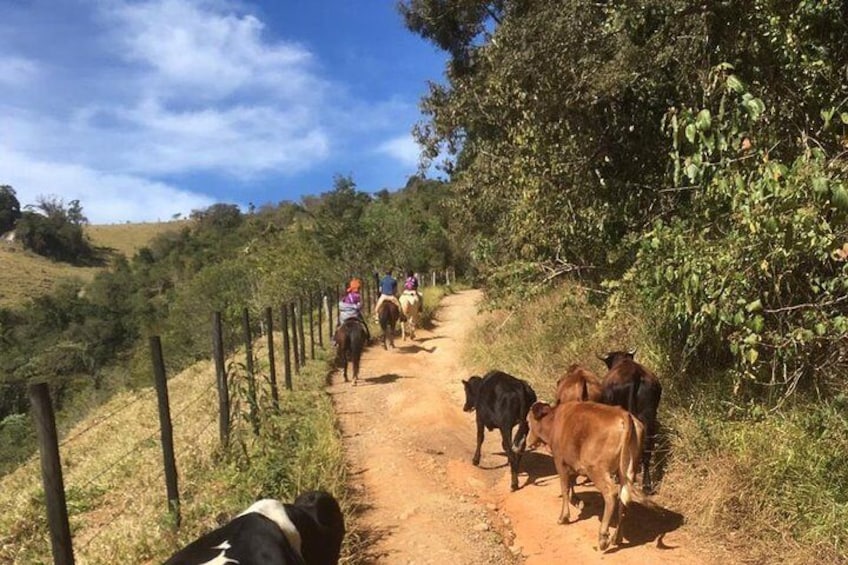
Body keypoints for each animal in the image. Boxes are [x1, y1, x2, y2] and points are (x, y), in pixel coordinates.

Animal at [528, 400, 652, 552]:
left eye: (528, 421)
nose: (528, 441)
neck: (554, 421)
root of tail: (623, 414)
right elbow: (571, 484)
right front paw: (576, 501)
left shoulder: (560, 462)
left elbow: (565, 488)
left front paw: (563, 517)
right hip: (628, 470)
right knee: (624, 498)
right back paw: (617, 537)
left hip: (596, 469)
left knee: (611, 493)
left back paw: (603, 538)